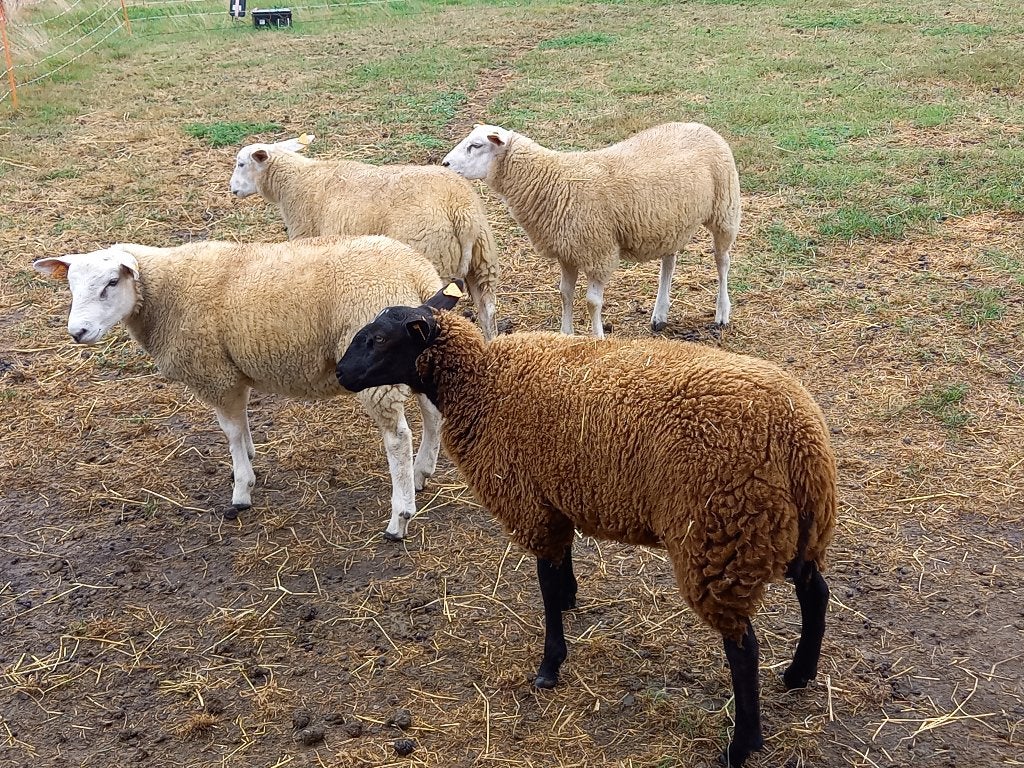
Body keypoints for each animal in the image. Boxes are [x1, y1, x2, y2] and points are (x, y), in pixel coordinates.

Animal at [33, 235, 447, 541]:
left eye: (111, 283)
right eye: (70, 286)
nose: (78, 332)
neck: (167, 291)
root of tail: (416, 271)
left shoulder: (213, 372)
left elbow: (229, 431)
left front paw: (242, 489)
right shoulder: (233, 371)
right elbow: (241, 423)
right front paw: (247, 459)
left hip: (379, 371)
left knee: (397, 438)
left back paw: (400, 515)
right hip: (419, 357)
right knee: (433, 413)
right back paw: (422, 472)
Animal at [229, 135, 501, 340]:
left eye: (241, 164)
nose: (232, 190)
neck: (295, 181)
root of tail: (459, 209)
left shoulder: (305, 233)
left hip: (434, 257)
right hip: (482, 259)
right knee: (487, 311)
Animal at [335, 289, 837, 767]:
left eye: (378, 339)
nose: (340, 373)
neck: (482, 382)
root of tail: (796, 434)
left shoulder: (530, 505)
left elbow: (546, 584)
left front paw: (550, 665)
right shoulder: (553, 496)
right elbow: (561, 567)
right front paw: (571, 598)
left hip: (720, 538)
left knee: (744, 648)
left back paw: (742, 744)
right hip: (792, 528)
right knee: (815, 591)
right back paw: (799, 674)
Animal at [441, 122, 741, 338]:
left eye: (476, 145)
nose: (444, 164)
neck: (551, 181)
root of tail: (701, 125)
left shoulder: (599, 252)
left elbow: (592, 302)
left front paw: (597, 338)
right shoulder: (567, 251)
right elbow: (565, 293)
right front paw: (566, 334)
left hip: (725, 208)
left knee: (723, 261)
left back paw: (722, 313)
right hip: (670, 221)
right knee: (670, 260)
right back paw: (660, 314)